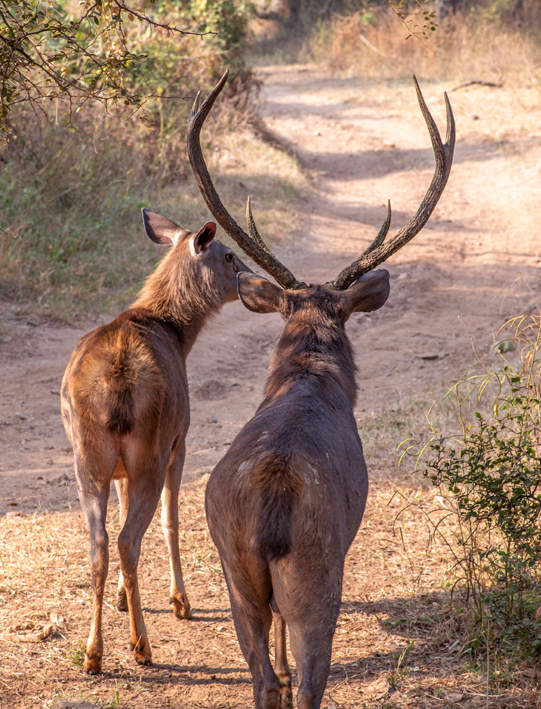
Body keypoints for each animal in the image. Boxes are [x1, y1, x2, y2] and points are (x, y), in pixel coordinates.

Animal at [60, 209, 251, 674]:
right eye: (228, 255)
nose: (249, 277)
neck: (177, 335)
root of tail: (118, 381)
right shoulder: (180, 442)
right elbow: (172, 521)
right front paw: (181, 601)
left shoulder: (120, 471)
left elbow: (124, 513)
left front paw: (121, 598)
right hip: (152, 448)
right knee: (129, 539)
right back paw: (142, 646)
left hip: (88, 461)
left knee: (100, 543)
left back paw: (93, 654)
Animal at [187, 70, 455, 709]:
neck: (307, 375)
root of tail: (270, 513)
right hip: (319, 567)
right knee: (312, 676)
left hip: (235, 571)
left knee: (263, 676)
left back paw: (273, 681)